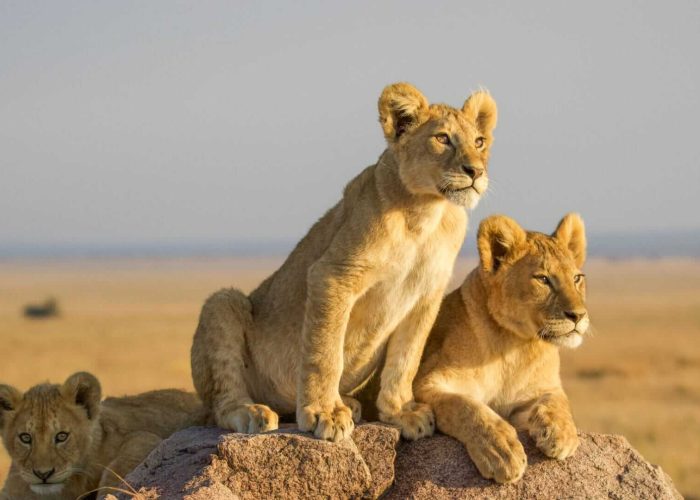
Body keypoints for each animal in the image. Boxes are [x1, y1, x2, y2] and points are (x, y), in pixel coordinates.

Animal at [191, 82, 498, 442]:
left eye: (479, 141)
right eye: (443, 138)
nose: (476, 171)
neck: (425, 212)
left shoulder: (426, 296)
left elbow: (405, 359)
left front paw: (401, 412)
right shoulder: (333, 275)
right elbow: (325, 352)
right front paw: (324, 412)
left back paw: (349, 403)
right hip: (223, 302)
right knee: (221, 403)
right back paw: (252, 411)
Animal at [413, 213, 589, 483]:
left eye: (577, 278)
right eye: (543, 279)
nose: (578, 316)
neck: (514, 346)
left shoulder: (539, 390)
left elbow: (559, 401)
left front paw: (562, 434)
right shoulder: (425, 382)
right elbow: (466, 407)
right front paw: (502, 451)